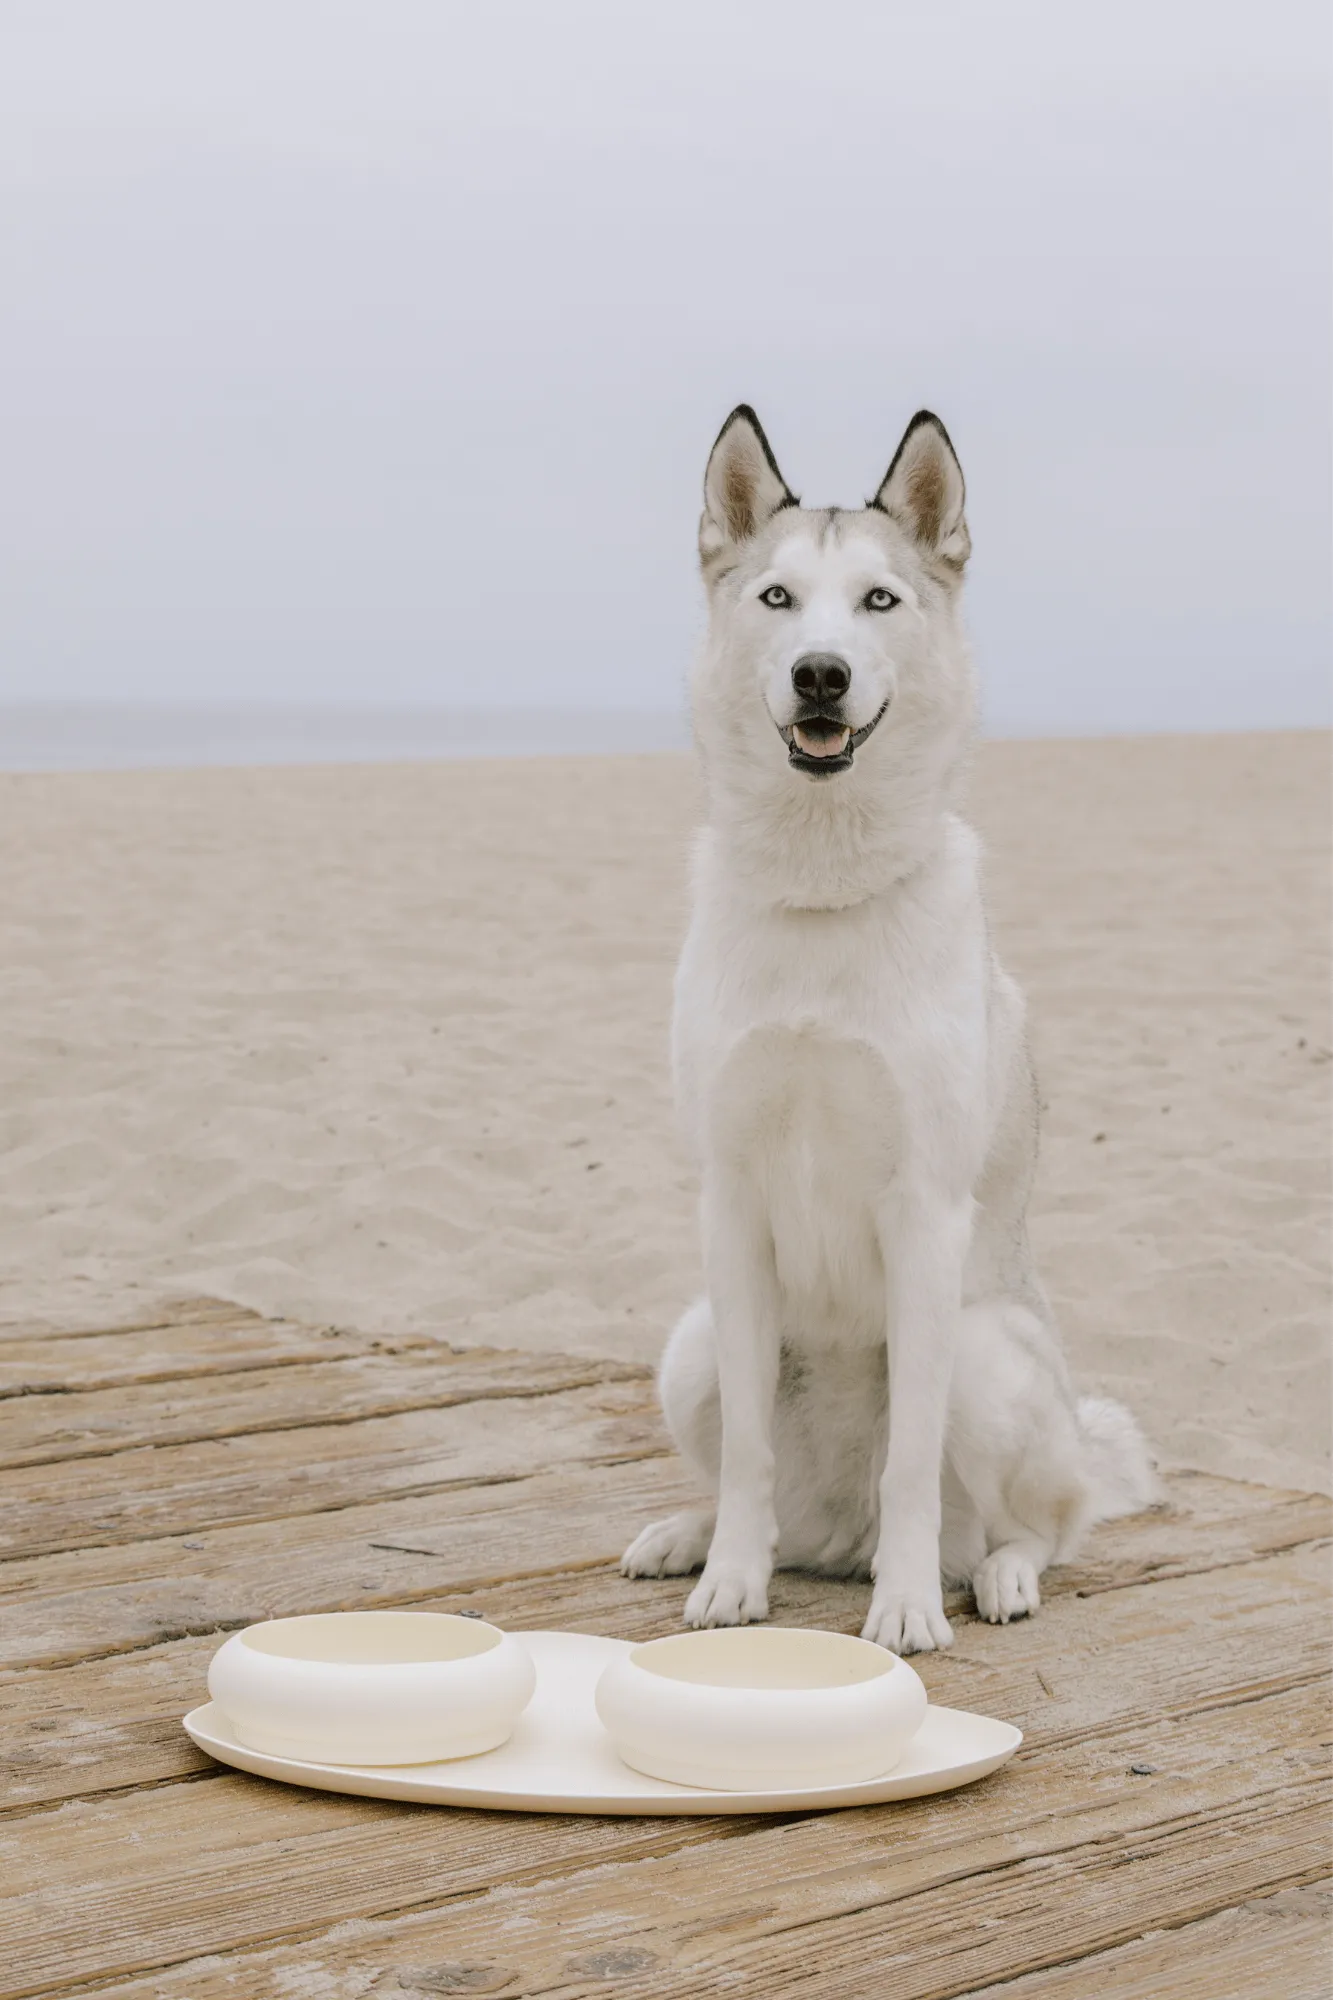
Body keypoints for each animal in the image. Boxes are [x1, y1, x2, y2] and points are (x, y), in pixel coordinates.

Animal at [624, 406, 1152, 1656]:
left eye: (877, 601)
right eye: (777, 598)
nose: (821, 672)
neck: (825, 894)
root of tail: (837, 1537)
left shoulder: (923, 1212)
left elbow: (910, 1457)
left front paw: (907, 1605)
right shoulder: (729, 1200)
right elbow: (748, 1459)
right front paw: (727, 1581)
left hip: (986, 1353)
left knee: (1036, 1525)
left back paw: (988, 1574)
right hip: (693, 1341)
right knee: (772, 1496)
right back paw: (697, 1537)